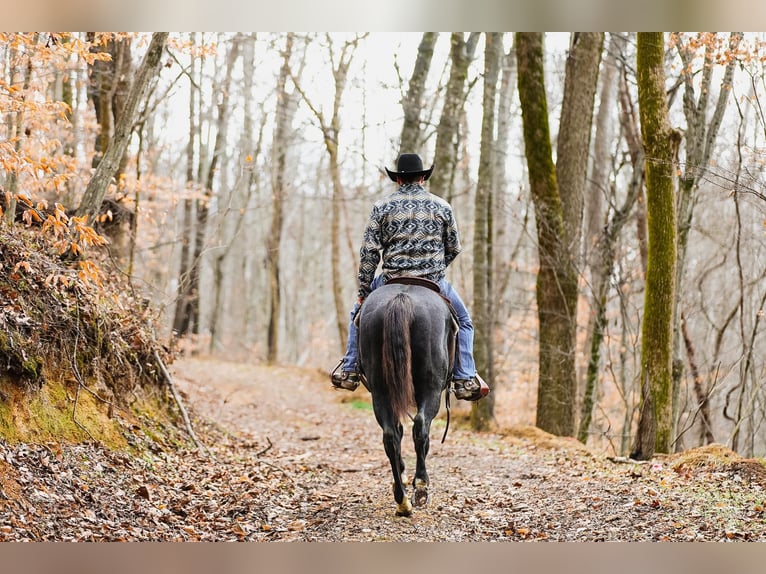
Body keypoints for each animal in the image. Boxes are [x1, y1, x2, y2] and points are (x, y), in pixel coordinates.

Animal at [358, 282, 460, 520]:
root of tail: (401, 298)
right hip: (430, 388)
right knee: (420, 428)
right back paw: (421, 488)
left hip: (380, 390)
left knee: (391, 436)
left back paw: (402, 501)